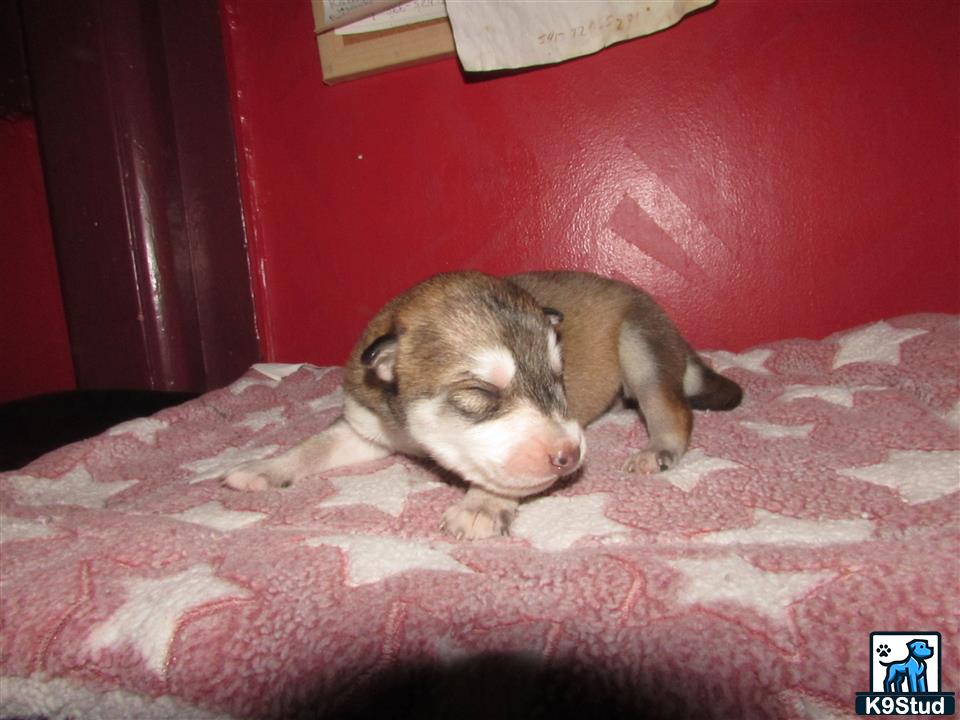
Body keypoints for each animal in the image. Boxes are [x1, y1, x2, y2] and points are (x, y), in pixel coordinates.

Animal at [225, 272, 744, 540]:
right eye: (482, 393)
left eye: (558, 378)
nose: (570, 457)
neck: (410, 428)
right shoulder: (365, 425)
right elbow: (313, 446)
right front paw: (261, 469)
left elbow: (504, 475)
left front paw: (481, 505)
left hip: (640, 340)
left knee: (672, 408)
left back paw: (657, 450)